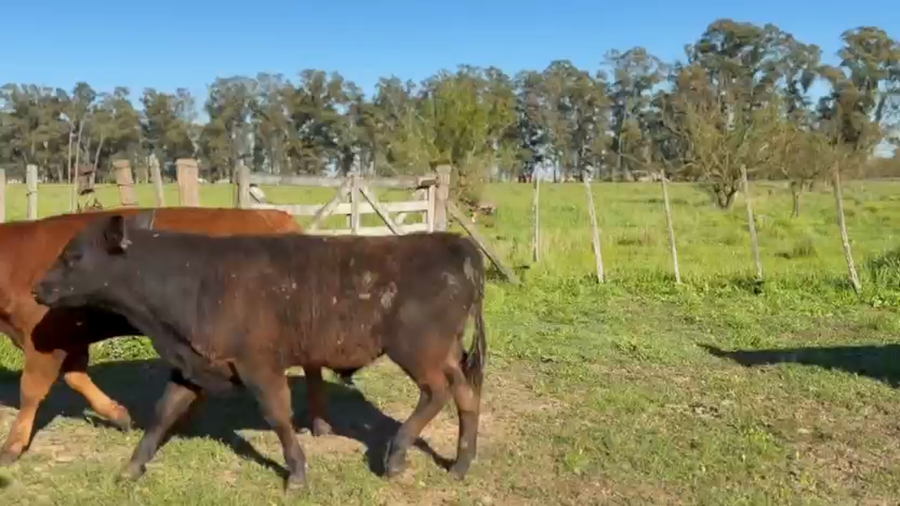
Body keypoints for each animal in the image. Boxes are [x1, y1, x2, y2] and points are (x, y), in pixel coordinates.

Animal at [0, 207, 343, 467]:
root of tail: (275, 216)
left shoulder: (44, 339)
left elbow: (31, 390)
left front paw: (12, 445)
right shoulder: (68, 339)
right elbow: (75, 378)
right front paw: (118, 415)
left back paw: (320, 421)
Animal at [31, 211, 487, 491]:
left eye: (74, 255)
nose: (38, 288)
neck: (193, 279)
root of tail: (453, 244)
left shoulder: (259, 365)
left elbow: (278, 415)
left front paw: (297, 472)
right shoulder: (192, 364)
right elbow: (162, 415)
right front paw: (130, 469)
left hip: (418, 351)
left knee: (436, 393)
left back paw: (396, 457)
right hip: (446, 353)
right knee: (466, 396)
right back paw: (461, 465)